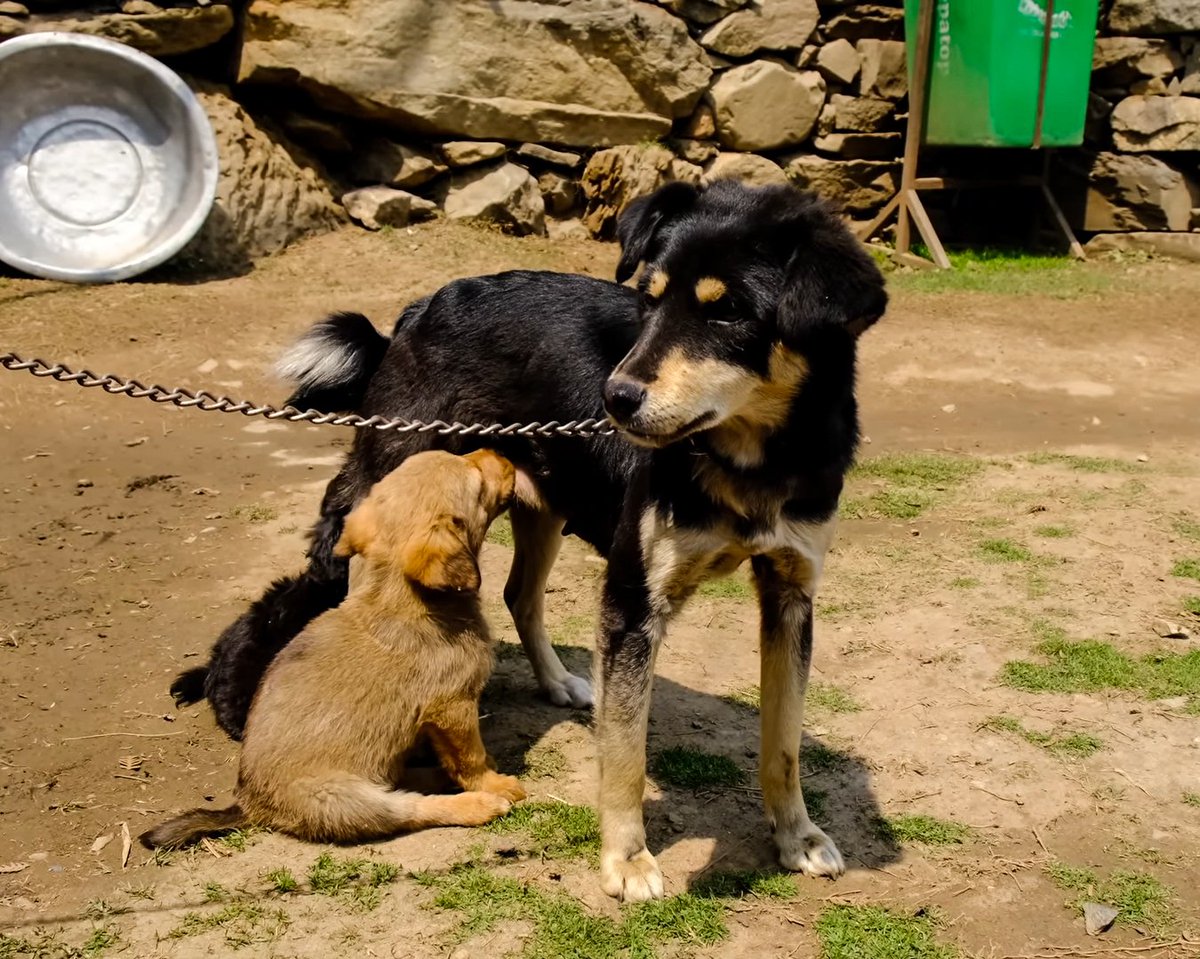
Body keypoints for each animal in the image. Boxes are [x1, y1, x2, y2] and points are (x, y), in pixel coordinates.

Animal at [141, 451, 525, 849]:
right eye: (476, 480)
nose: (500, 453)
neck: (400, 596)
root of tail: (250, 806)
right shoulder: (454, 706)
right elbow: (471, 759)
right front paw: (497, 784)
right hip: (347, 798)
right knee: (410, 808)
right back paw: (477, 804)